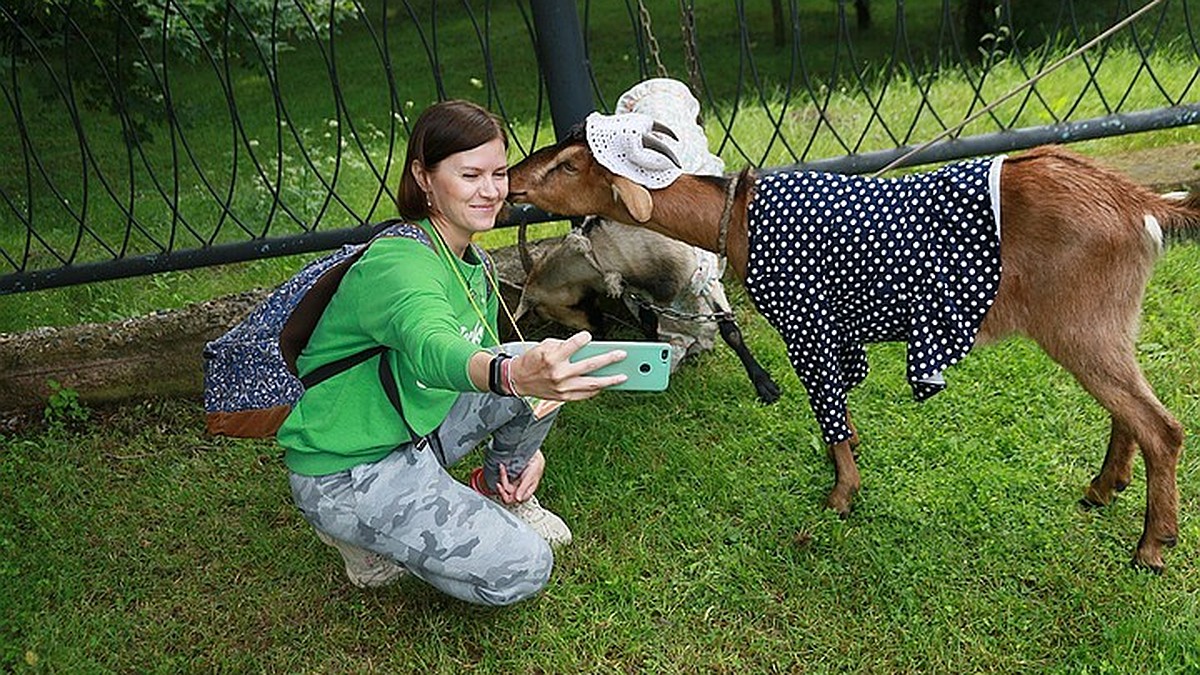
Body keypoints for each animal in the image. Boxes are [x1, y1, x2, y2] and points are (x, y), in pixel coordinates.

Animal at [511, 128, 1200, 569]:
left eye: (570, 165)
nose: (512, 176)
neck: (738, 221)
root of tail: (1141, 203)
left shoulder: (805, 324)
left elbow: (827, 406)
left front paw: (839, 495)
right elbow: (839, 405)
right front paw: (844, 464)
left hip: (1081, 323)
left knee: (1161, 425)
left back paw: (1152, 548)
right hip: (1108, 324)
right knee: (1128, 411)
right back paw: (1102, 489)